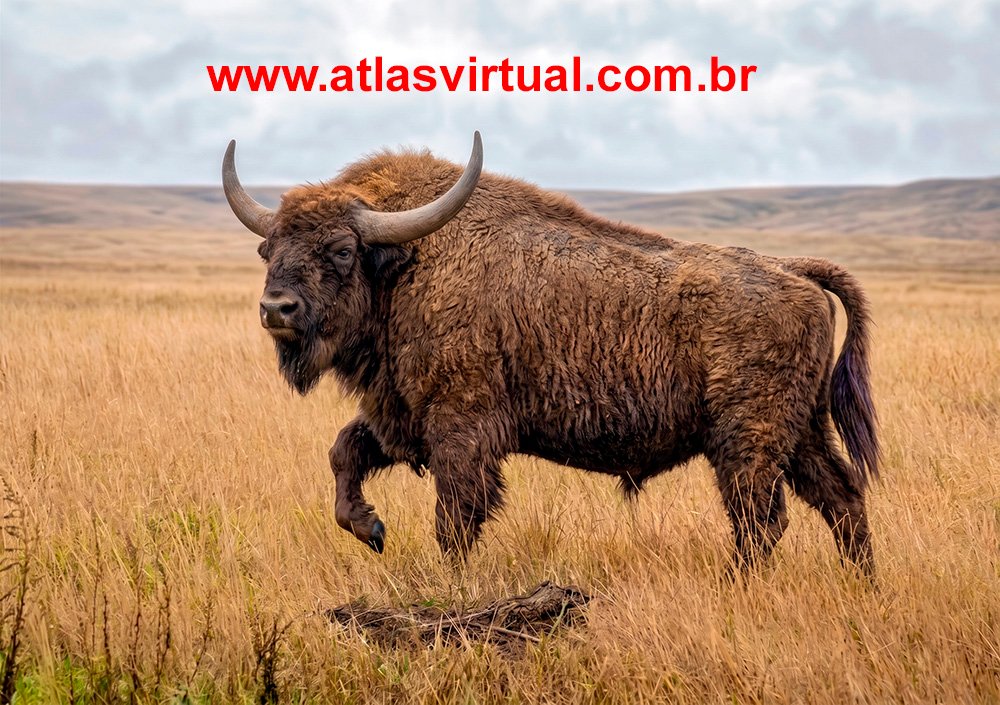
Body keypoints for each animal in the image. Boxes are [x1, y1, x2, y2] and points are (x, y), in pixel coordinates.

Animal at [222, 132, 880, 573]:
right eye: (267, 248)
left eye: (340, 250)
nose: (276, 309)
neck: (405, 263)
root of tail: (794, 271)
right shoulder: (398, 416)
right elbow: (344, 453)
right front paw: (371, 528)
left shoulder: (461, 431)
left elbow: (454, 519)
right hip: (802, 433)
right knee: (841, 499)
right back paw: (860, 585)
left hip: (748, 442)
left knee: (761, 521)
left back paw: (739, 587)